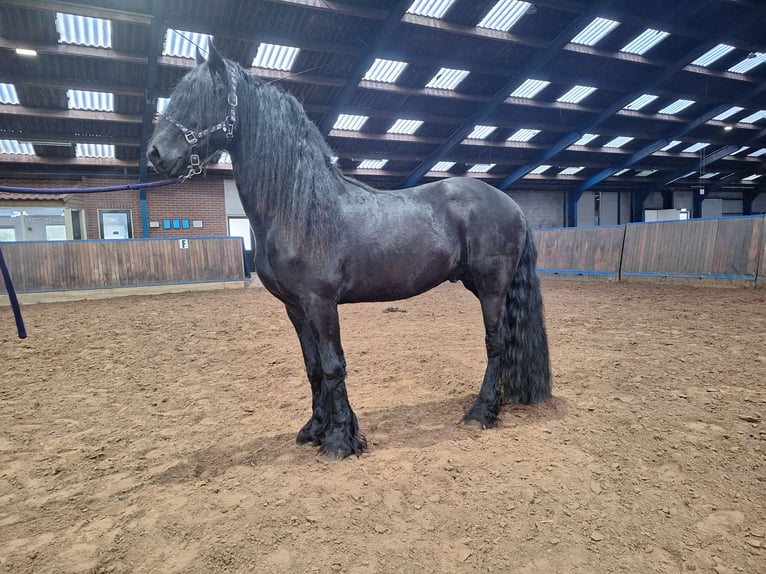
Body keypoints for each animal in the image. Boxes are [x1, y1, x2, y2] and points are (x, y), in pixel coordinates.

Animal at [147, 45, 551, 461]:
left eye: (203, 98)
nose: (155, 154)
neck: (298, 210)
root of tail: (511, 203)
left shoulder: (321, 302)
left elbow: (332, 366)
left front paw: (340, 439)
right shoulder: (295, 308)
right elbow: (312, 368)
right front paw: (314, 429)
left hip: (491, 288)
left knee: (496, 343)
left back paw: (481, 412)